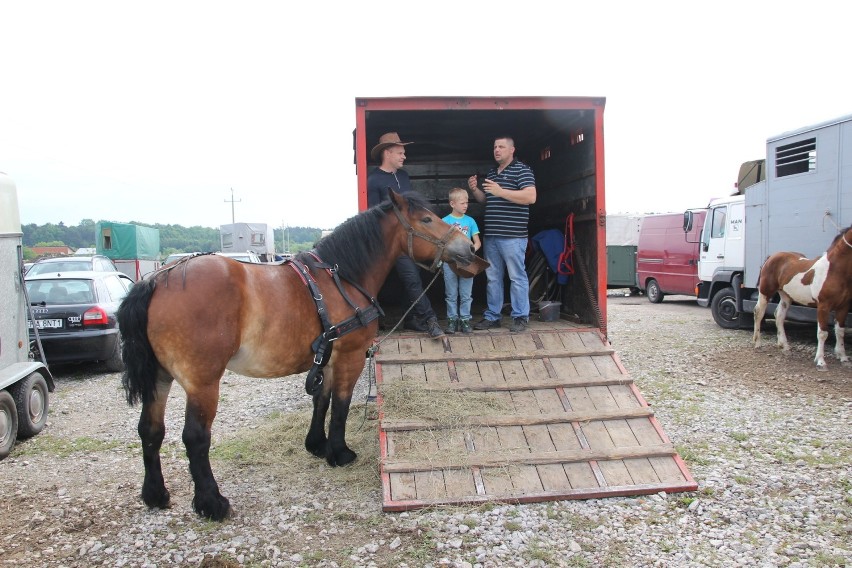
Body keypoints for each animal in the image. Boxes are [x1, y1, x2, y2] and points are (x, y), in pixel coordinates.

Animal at [116, 191, 476, 520]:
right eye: (427, 219)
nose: (468, 249)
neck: (342, 278)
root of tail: (158, 279)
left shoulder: (327, 358)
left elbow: (321, 401)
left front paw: (317, 445)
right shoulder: (350, 356)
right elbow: (341, 405)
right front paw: (340, 452)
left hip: (160, 378)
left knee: (150, 430)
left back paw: (156, 494)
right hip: (202, 382)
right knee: (195, 437)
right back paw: (212, 503)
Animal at [752, 224, 852, 370]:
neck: (834, 270)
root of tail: (771, 257)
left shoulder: (844, 307)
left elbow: (840, 331)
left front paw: (843, 357)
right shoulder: (824, 306)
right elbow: (823, 333)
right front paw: (820, 361)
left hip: (785, 295)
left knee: (779, 315)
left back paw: (785, 346)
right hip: (765, 291)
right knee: (759, 312)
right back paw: (757, 343)